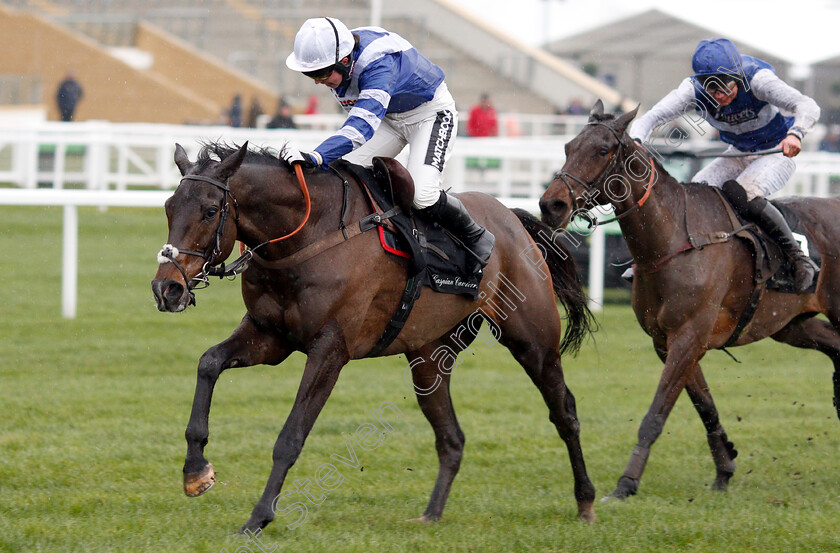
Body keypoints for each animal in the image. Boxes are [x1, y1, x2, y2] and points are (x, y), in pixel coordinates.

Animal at [153, 141, 596, 532]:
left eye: (210, 210)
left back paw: (586, 501)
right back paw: (431, 515)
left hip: (533, 342)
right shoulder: (269, 335)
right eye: (169, 207)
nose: (166, 289)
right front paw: (196, 472)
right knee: (451, 437)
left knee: (565, 412)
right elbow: (209, 363)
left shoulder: (330, 350)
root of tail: (512, 219)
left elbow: (290, 437)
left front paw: (258, 518)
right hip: (429, 358)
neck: (308, 235)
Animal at [540, 99, 840, 500]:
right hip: (790, 325)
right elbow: (705, 406)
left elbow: (655, 414)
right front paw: (725, 468)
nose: (551, 205)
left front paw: (625, 484)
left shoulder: (689, 336)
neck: (674, 242)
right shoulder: (668, 342)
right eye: (568, 147)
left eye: (602, 150)